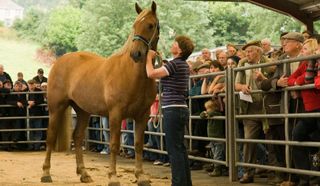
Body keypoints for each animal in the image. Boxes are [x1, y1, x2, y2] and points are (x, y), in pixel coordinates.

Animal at [41, 2, 159, 185]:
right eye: (134, 25)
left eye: (151, 25)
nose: (136, 54)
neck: (132, 75)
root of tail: (60, 61)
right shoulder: (115, 114)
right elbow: (114, 145)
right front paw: (113, 177)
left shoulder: (143, 115)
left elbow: (139, 144)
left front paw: (141, 176)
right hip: (56, 108)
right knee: (51, 137)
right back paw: (46, 173)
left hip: (83, 111)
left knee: (77, 137)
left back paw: (84, 173)